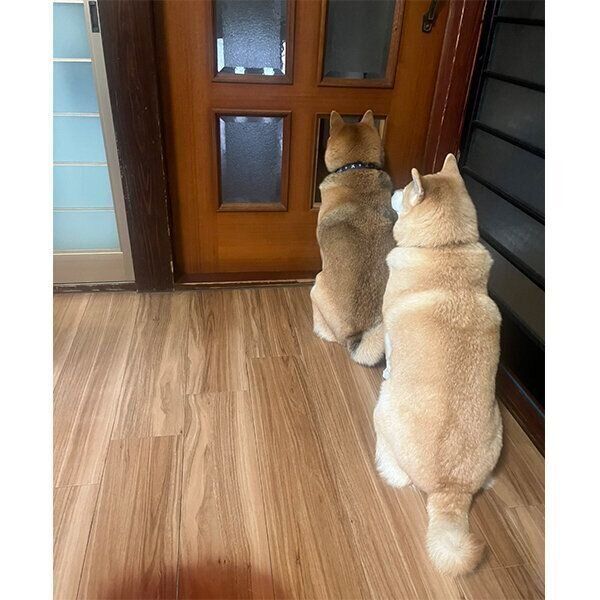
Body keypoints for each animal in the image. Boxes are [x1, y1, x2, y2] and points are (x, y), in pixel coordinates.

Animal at [374, 154, 503, 576]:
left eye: (405, 193)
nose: (393, 187)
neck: (446, 248)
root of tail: (452, 490)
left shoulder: (389, 327)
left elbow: (389, 350)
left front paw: (387, 366)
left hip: (382, 409)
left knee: (396, 472)